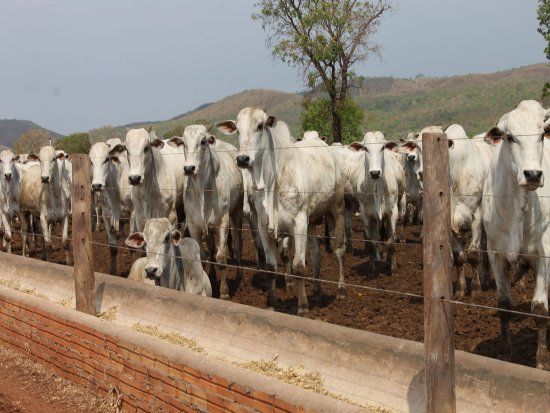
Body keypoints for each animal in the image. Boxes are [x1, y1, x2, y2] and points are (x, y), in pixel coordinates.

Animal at [168, 124, 244, 298]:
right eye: (183, 143)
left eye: (203, 141)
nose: (189, 168)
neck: (202, 189)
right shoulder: (193, 226)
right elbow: (202, 257)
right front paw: (209, 280)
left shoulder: (222, 223)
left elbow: (221, 257)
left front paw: (224, 293)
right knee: (211, 248)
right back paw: (212, 276)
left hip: (237, 211)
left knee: (237, 243)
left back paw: (239, 275)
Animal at [217, 108, 342, 314]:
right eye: (237, 130)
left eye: (260, 126)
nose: (242, 159)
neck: (271, 180)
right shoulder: (263, 226)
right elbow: (270, 267)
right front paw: (272, 304)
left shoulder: (298, 224)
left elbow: (299, 267)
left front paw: (302, 307)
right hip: (311, 222)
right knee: (316, 255)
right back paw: (317, 293)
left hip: (336, 210)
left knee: (340, 250)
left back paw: (341, 290)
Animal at [348, 132, 408, 272]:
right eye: (365, 148)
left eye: (382, 147)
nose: (375, 173)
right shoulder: (365, 215)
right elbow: (372, 242)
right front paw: (372, 268)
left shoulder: (392, 212)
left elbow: (391, 241)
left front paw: (392, 266)